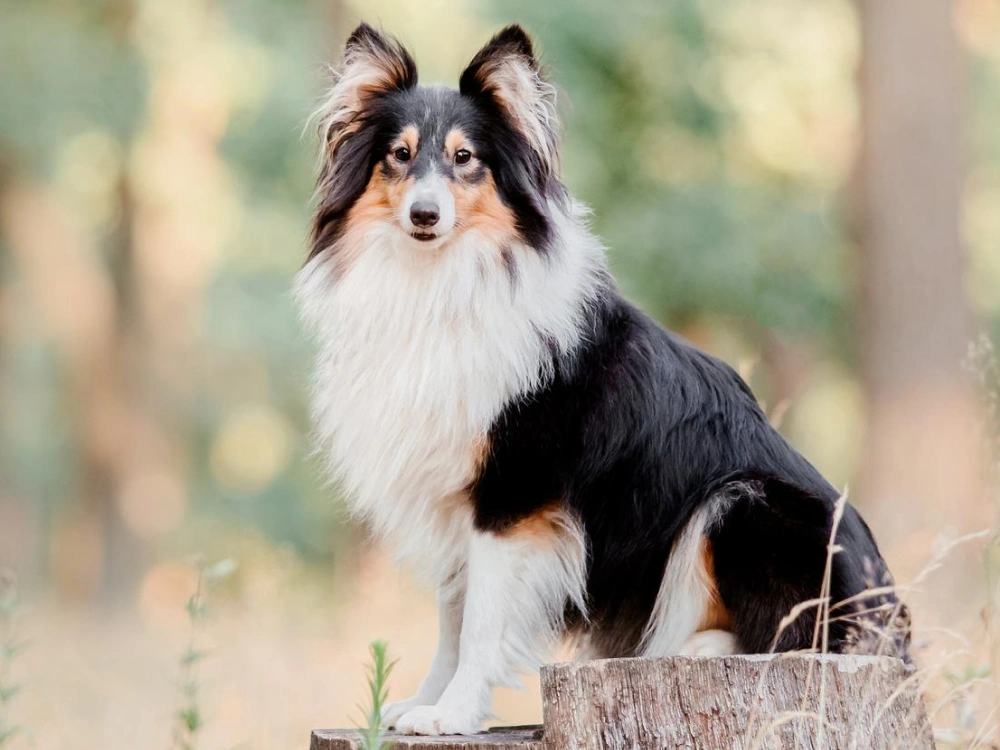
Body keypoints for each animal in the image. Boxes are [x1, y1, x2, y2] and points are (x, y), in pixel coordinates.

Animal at [292, 22, 912, 736]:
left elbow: (480, 624)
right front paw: (425, 703)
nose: (425, 215)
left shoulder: (513, 498)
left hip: (742, 503)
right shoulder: (455, 498)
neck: (444, 280)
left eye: (466, 158)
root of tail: (894, 624)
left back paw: (695, 647)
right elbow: (452, 617)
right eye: (399, 154)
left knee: (796, 636)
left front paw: (455, 712)